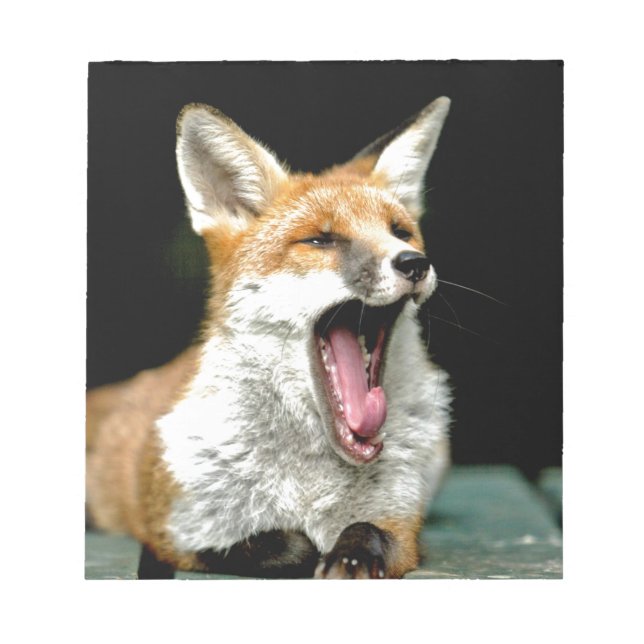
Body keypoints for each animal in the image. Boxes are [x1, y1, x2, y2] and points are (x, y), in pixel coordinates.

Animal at [86, 96, 452, 579]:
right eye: (319, 240)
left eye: (400, 232)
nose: (414, 262)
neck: (309, 481)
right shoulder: (177, 534)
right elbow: (285, 544)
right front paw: (310, 550)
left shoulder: (400, 524)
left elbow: (367, 530)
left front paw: (352, 556)